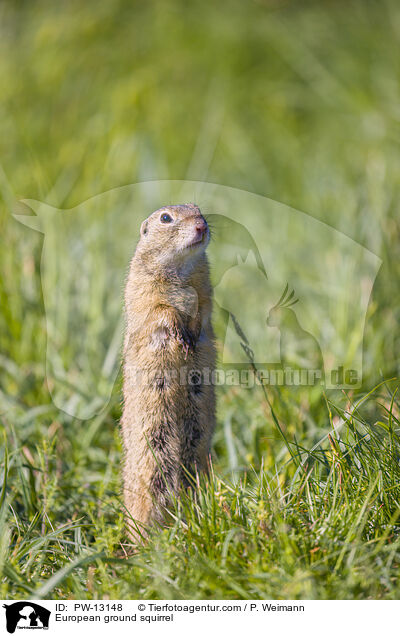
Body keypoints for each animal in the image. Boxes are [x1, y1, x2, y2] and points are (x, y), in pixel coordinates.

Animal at [121, 202, 216, 536]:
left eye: (199, 209)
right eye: (166, 218)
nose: (202, 225)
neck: (181, 268)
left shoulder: (204, 287)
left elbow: (203, 308)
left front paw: (193, 336)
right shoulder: (145, 290)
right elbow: (161, 311)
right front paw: (181, 337)